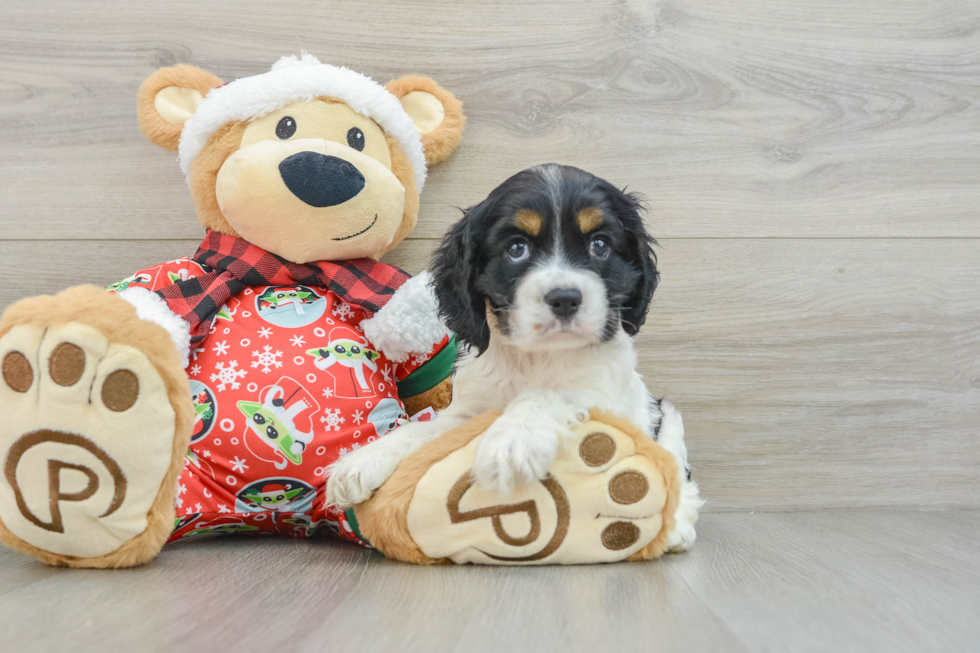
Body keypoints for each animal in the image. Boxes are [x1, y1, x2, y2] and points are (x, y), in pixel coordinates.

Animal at [330, 163, 704, 552]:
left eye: (600, 244)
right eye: (517, 248)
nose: (565, 298)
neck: (537, 356)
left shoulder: (602, 396)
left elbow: (546, 395)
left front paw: (512, 440)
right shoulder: (469, 409)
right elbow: (428, 428)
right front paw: (365, 459)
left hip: (667, 417)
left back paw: (677, 526)